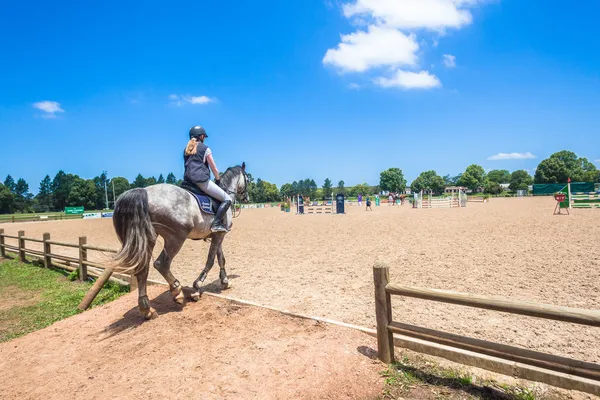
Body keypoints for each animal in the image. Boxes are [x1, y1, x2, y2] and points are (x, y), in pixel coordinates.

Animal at [111, 162, 247, 318]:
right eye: (248, 179)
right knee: (161, 264)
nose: (247, 198)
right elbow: (211, 260)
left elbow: (221, 258)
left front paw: (225, 281)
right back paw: (177, 292)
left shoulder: (217, 235)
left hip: (148, 239)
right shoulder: (219, 235)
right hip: (176, 238)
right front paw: (197, 287)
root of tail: (144, 192)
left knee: (142, 268)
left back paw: (147, 309)